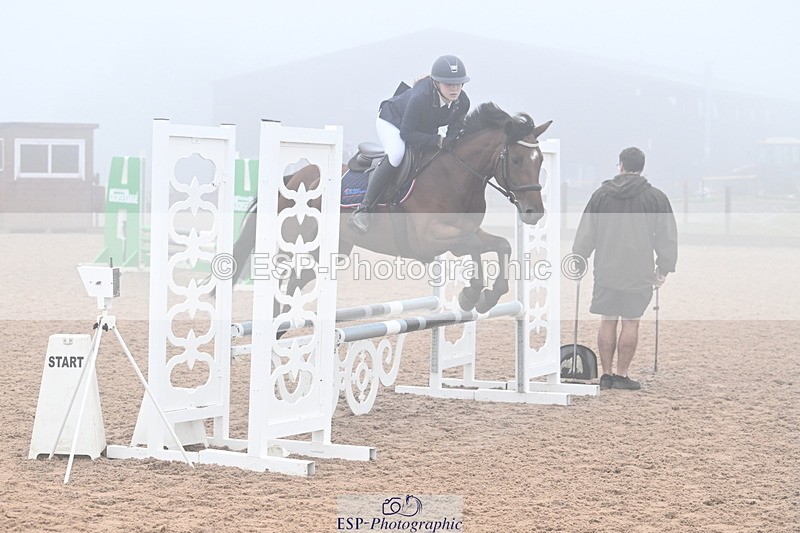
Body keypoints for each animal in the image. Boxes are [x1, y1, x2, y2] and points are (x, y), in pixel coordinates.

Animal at [232, 102, 552, 313]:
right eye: (516, 160)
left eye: (540, 161)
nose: (534, 212)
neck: (455, 175)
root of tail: (296, 176)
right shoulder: (428, 238)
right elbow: (474, 244)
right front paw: (471, 294)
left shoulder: (458, 234)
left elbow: (501, 245)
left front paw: (490, 297)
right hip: (294, 241)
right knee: (281, 279)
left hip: (329, 250)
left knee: (296, 281)